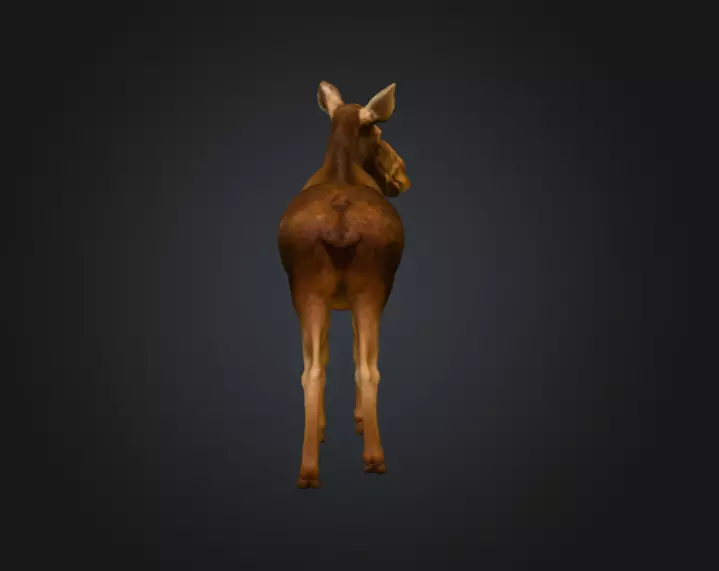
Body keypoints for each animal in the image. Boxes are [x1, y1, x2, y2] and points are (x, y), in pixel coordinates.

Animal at [277, 81, 411, 489]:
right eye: (379, 135)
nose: (403, 177)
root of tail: (340, 221)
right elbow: (345, 353)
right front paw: (348, 423)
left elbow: (330, 354)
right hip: (367, 289)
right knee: (360, 367)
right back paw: (369, 458)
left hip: (313, 291)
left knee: (319, 369)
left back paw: (313, 468)